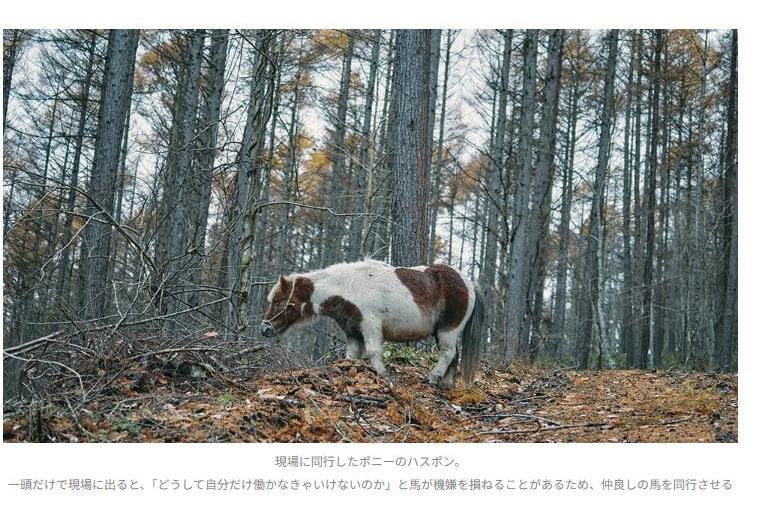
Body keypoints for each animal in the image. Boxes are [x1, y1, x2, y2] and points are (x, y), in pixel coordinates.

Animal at [260, 259, 485, 387]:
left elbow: (374, 352)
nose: (264, 328)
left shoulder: (370, 325)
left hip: (448, 330)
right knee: (453, 355)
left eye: (278, 301)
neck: (348, 287)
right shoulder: (353, 332)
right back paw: (446, 384)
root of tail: (468, 282)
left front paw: (382, 376)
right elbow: (351, 357)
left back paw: (432, 378)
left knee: (448, 353)